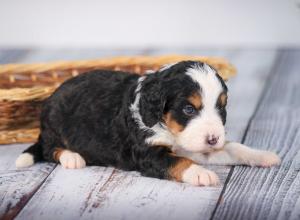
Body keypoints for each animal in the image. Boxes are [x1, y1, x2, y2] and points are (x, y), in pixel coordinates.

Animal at [15, 61, 280, 186]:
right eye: (188, 109)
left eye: (221, 107)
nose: (214, 138)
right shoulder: (148, 153)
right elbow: (177, 161)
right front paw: (201, 174)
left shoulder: (193, 146)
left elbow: (233, 147)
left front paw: (263, 155)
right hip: (55, 125)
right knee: (49, 149)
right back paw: (72, 157)